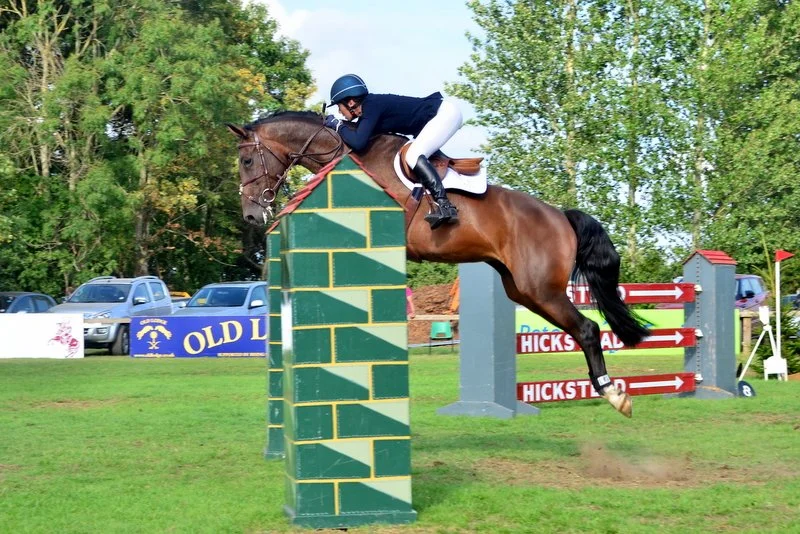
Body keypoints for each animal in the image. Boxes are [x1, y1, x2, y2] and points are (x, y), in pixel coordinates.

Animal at [226, 111, 650, 417]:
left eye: (247, 160)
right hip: (523, 290)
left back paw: (614, 394)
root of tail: (560, 215)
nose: (251, 215)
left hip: (541, 289)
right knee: (580, 328)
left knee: (587, 329)